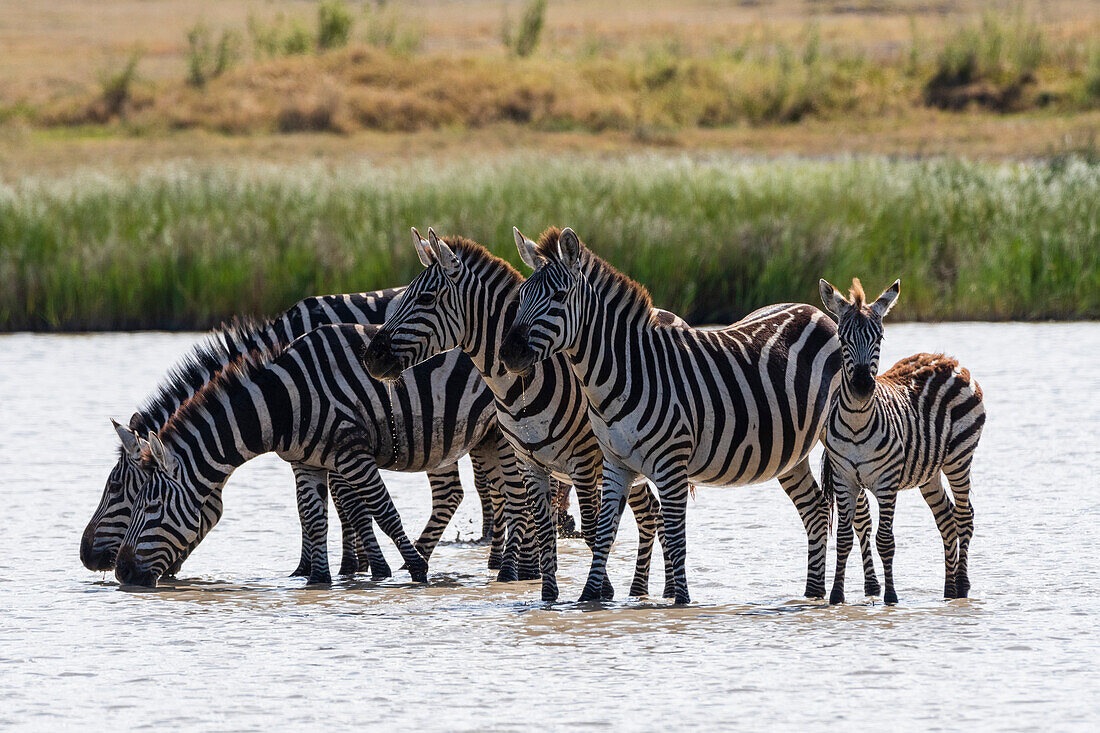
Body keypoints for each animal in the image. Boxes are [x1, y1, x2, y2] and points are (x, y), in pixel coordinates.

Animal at [79, 288, 501, 581]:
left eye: (118, 489)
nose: (87, 558)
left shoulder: (344, 442)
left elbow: (352, 505)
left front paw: (365, 567)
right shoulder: (309, 452)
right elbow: (315, 510)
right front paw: (314, 569)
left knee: (466, 490)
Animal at [360, 228, 673, 598]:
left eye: (425, 298)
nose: (370, 357)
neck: (517, 387)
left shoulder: (583, 461)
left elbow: (591, 529)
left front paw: (600, 593)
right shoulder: (529, 460)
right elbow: (544, 528)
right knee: (651, 513)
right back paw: (642, 590)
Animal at [499, 225, 849, 603]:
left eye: (559, 296)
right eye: (521, 296)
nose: (508, 353)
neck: (625, 372)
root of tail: (815, 311)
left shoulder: (671, 464)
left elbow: (675, 536)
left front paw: (681, 602)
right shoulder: (615, 463)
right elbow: (604, 533)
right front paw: (590, 596)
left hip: (842, 437)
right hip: (790, 453)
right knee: (815, 510)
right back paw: (812, 593)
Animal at [818, 277, 990, 603]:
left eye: (879, 338)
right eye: (842, 339)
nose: (862, 387)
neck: (857, 423)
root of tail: (949, 359)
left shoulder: (887, 482)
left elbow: (885, 540)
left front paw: (891, 598)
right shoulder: (844, 479)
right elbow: (844, 538)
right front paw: (836, 596)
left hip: (959, 458)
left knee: (964, 516)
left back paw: (962, 587)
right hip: (929, 471)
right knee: (947, 520)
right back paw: (948, 590)